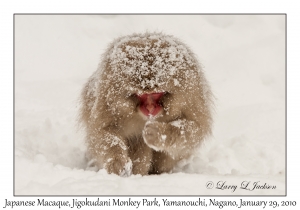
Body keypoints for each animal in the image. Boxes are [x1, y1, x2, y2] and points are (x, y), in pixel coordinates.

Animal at [78, 31, 212, 176]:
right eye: (142, 96)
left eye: (156, 94)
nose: (150, 108)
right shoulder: (108, 99)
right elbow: (102, 132)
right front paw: (116, 161)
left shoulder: (190, 96)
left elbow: (195, 129)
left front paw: (160, 133)